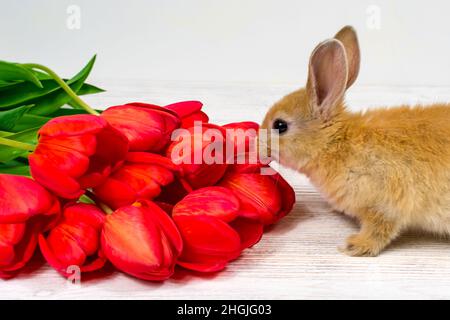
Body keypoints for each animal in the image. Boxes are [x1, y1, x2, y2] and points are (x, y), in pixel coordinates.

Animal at [260, 26, 450, 258]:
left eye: (280, 125)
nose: (257, 145)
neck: (334, 144)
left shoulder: (384, 205)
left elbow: (379, 230)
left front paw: (354, 246)